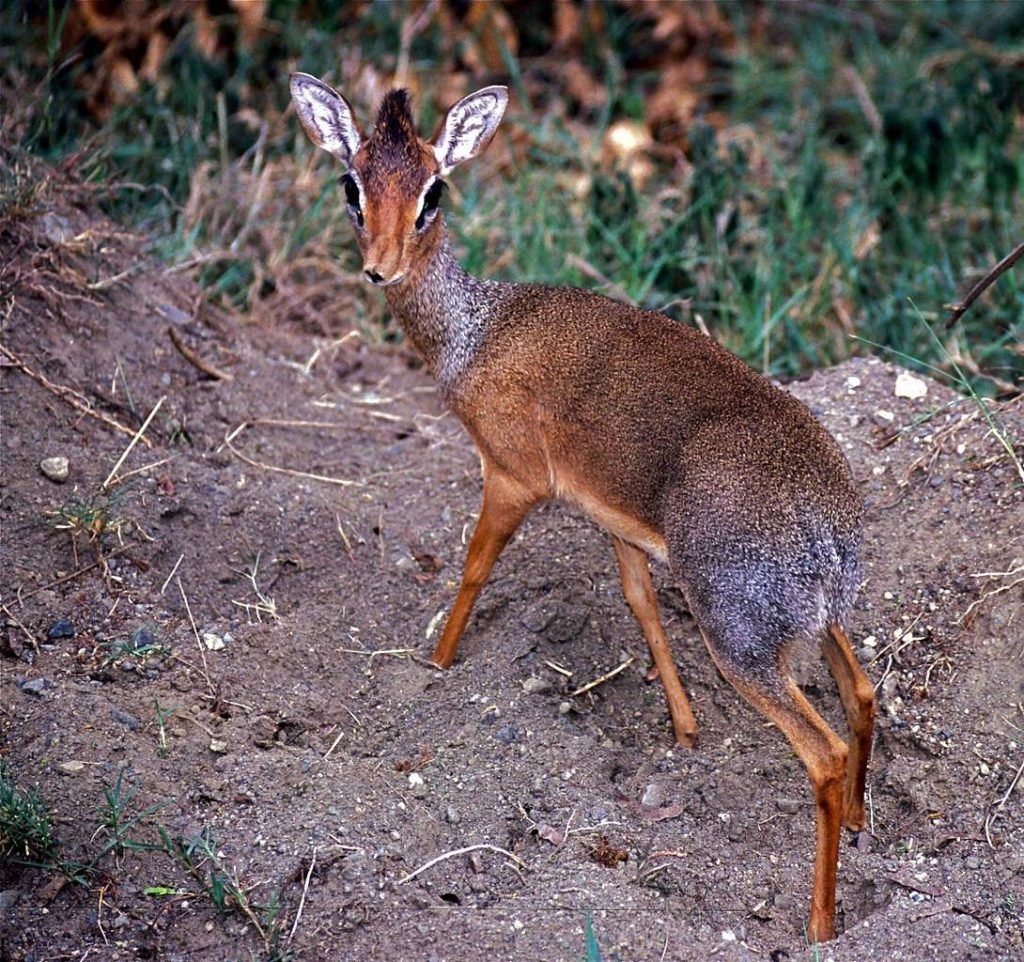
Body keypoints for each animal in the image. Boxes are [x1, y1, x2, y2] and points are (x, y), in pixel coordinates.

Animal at [290, 77, 880, 946]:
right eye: (351, 183)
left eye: (434, 190)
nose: (380, 269)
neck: (475, 330)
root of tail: (829, 532)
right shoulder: (613, 519)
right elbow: (640, 605)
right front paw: (685, 731)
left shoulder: (512, 476)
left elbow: (474, 568)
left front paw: (436, 667)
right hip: (819, 619)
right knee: (864, 694)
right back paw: (866, 825)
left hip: (740, 637)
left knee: (825, 754)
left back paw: (819, 924)